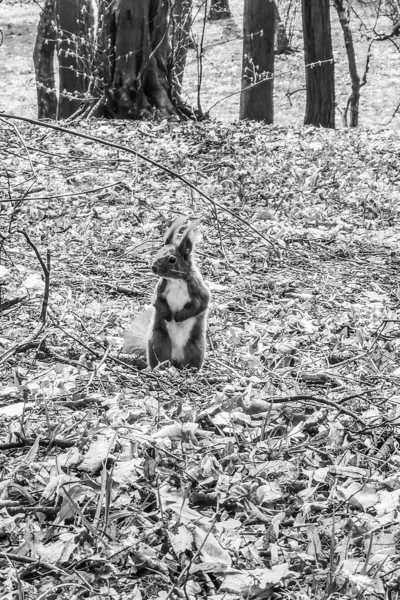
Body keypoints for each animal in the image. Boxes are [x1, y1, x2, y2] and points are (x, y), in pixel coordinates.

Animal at [123, 219, 211, 370]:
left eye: (172, 259)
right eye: (158, 251)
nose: (153, 267)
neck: (176, 280)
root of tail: (176, 359)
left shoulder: (198, 288)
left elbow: (201, 304)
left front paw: (179, 316)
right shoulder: (160, 289)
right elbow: (157, 302)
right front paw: (169, 316)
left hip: (196, 346)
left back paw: (192, 371)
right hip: (157, 341)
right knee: (159, 359)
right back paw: (158, 368)